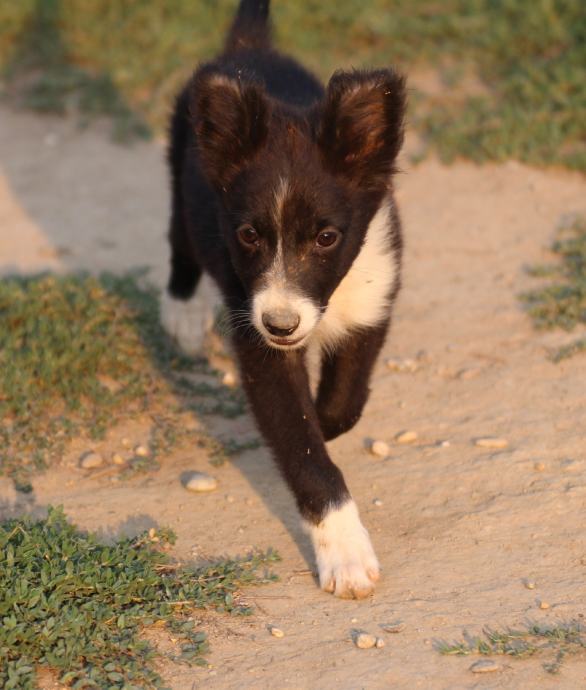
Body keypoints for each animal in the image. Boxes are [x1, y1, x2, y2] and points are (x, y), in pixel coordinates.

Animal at [162, 0, 404, 596]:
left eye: (327, 237)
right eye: (249, 235)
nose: (281, 325)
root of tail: (250, 49)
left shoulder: (375, 296)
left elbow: (342, 404)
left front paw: (325, 416)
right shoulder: (258, 344)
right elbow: (303, 448)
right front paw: (345, 555)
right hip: (181, 176)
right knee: (179, 238)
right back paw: (182, 312)